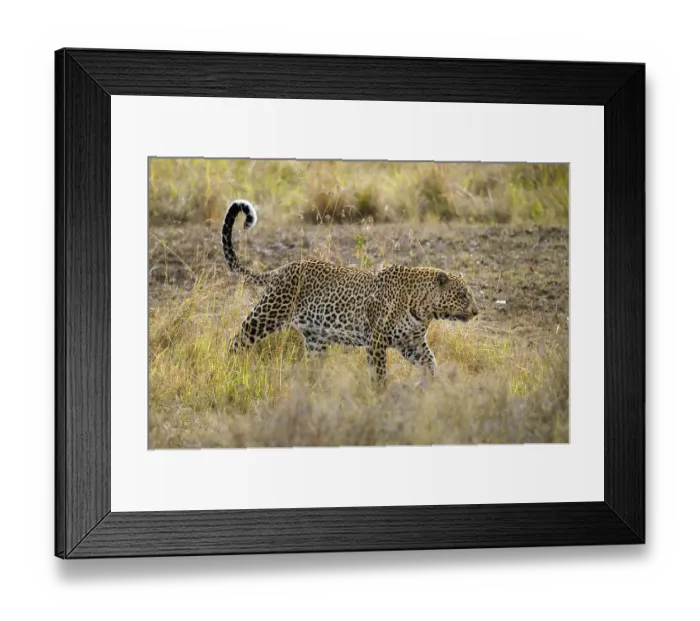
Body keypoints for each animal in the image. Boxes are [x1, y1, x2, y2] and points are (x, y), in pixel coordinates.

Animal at [222, 199, 480, 383]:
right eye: (462, 295)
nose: (476, 312)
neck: (424, 309)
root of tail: (281, 269)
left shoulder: (412, 344)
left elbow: (431, 364)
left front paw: (436, 387)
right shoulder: (376, 341)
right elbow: (379, 375)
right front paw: (380, 398)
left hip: (316, 340)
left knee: (312, 366)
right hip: (266, 315)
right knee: (237, 340)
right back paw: (228, 368)